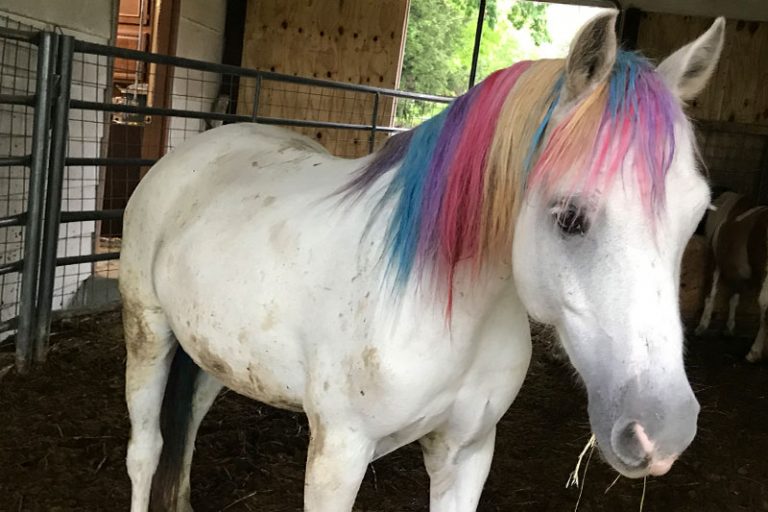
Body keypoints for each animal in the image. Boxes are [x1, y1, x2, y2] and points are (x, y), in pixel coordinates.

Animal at [121, 12, 728, 512]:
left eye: (698, 213)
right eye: (570, 217)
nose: (664, 432)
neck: (443, 308)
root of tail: (195, 151)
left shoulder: (467, 453)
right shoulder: (337, 457)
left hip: (211, 355)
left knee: (187, 426)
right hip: (148, 333)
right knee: (146, 451)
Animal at [696, 190, 768, 362]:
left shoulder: (714, 260)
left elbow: (710, 294)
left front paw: (702, 326)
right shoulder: (738, 275)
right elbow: (734, 299)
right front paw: (729, 328)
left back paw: (754, 352)